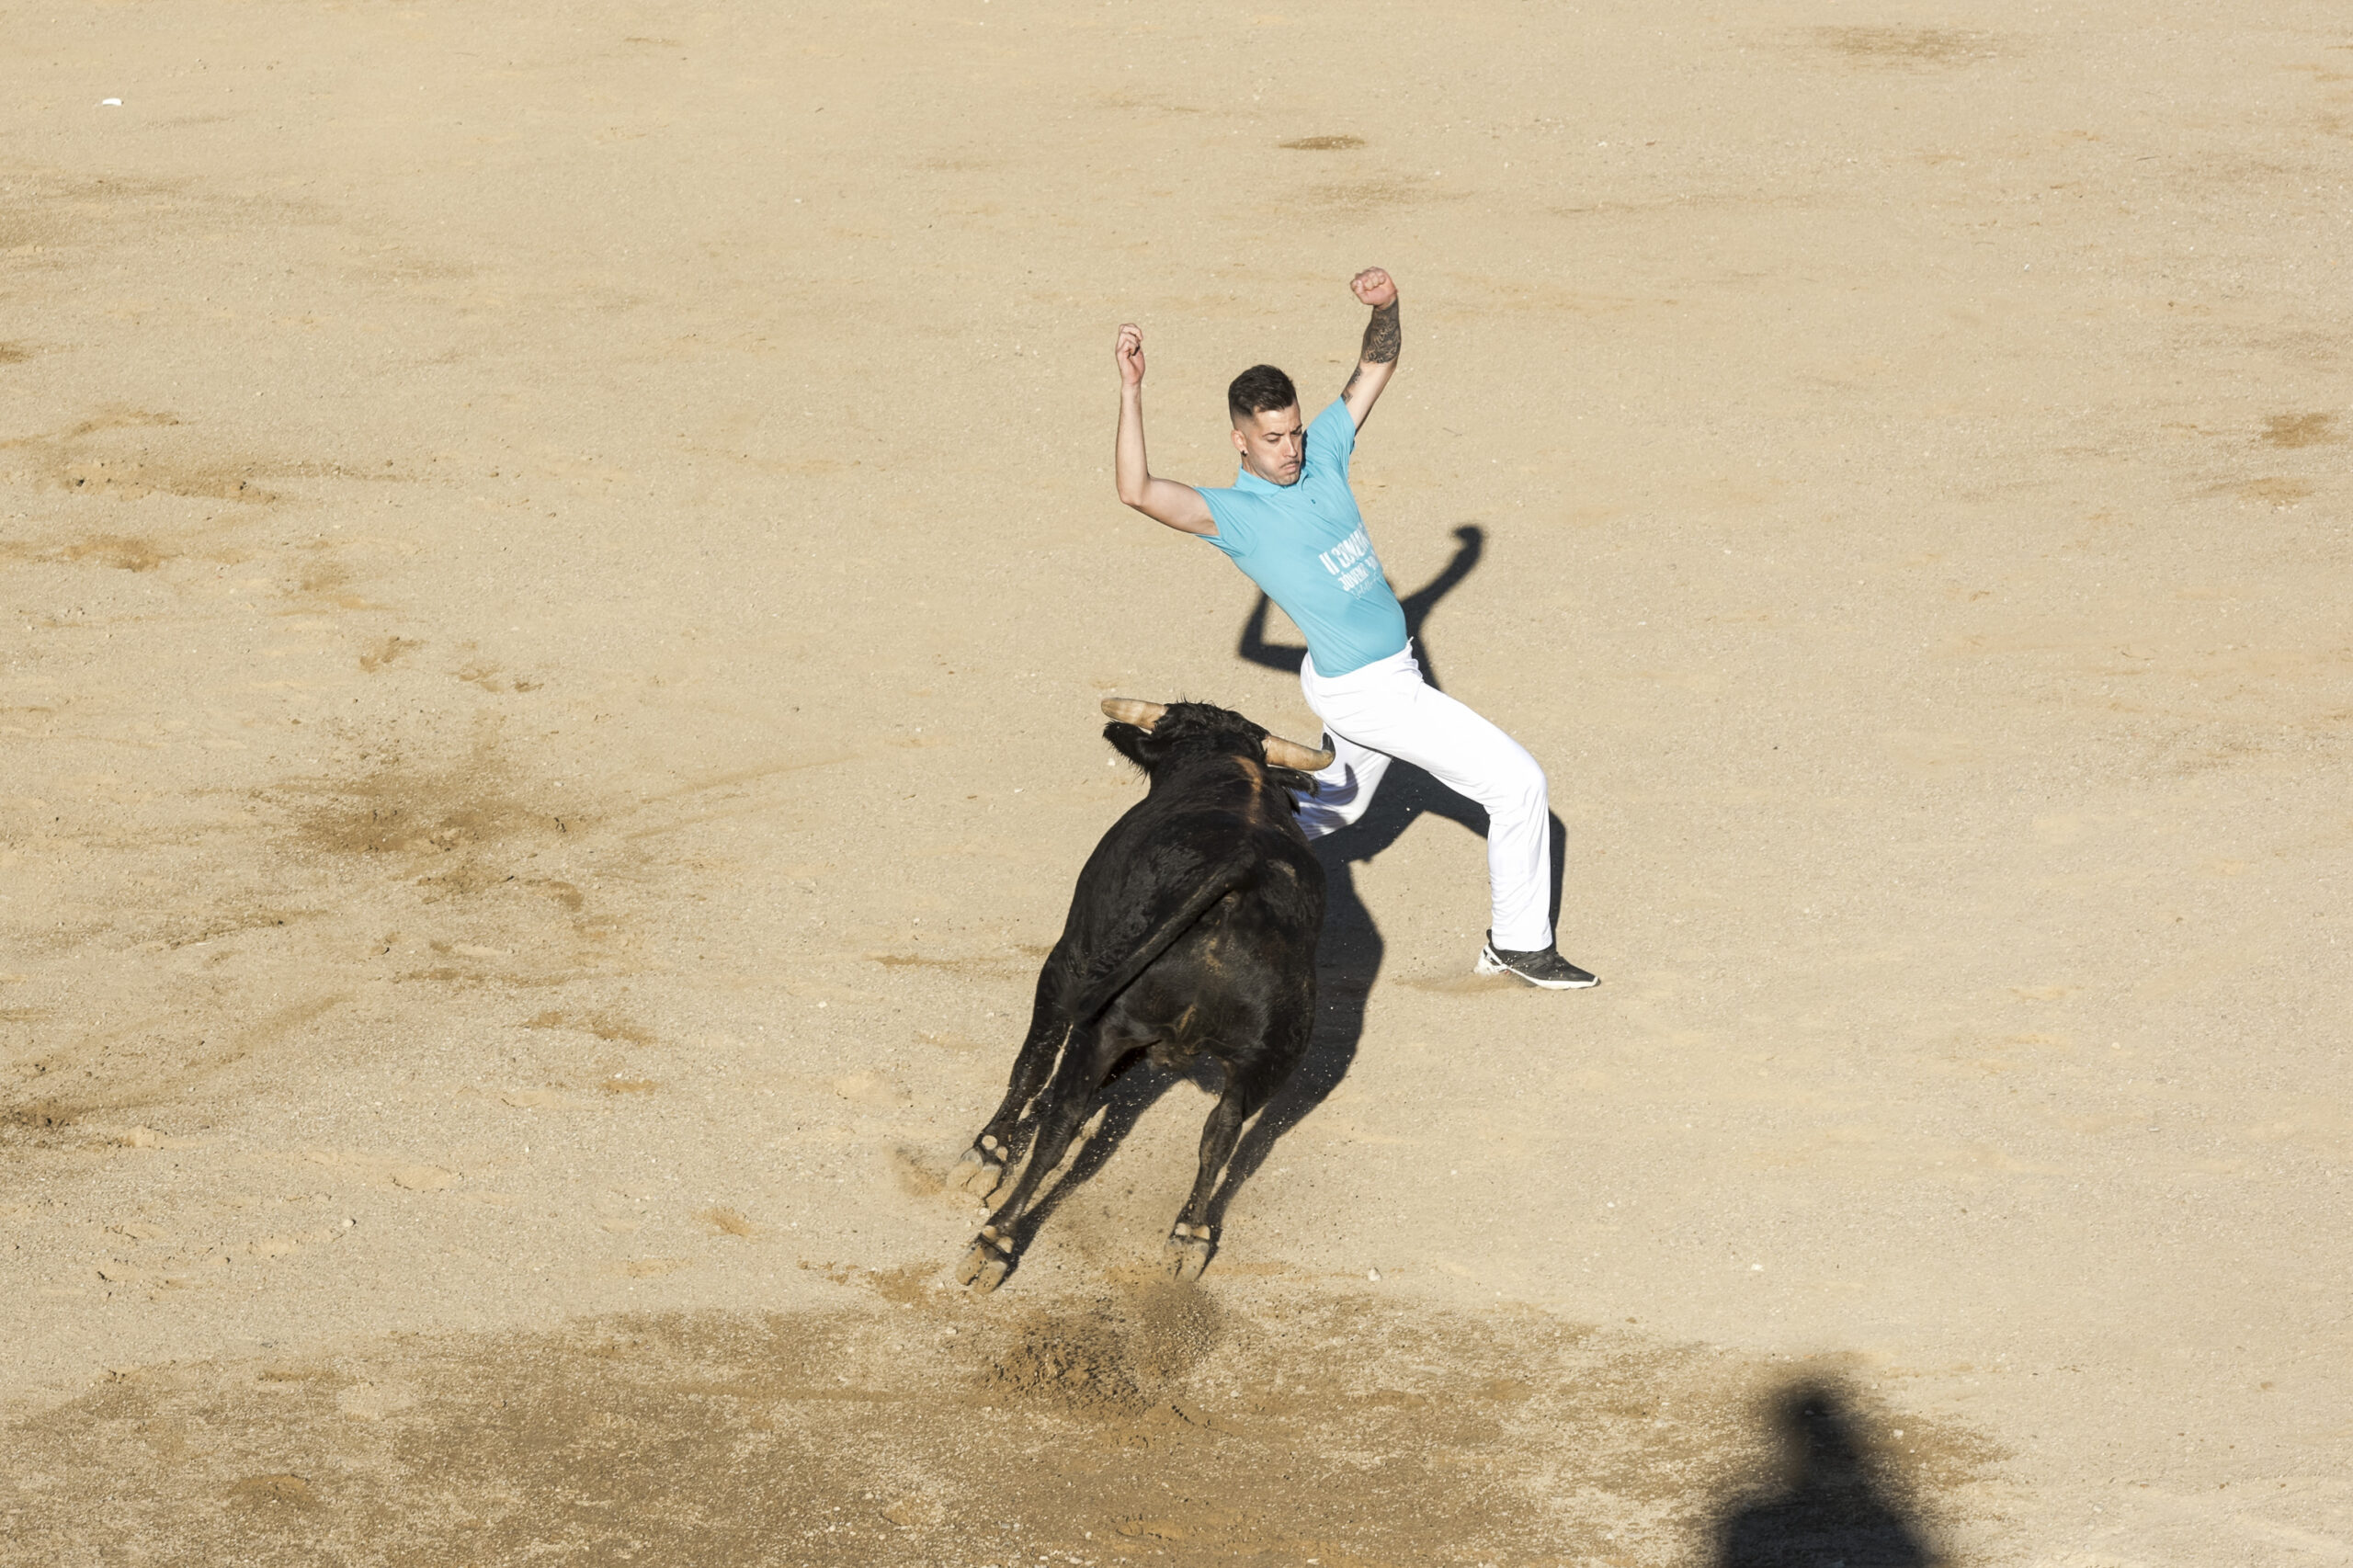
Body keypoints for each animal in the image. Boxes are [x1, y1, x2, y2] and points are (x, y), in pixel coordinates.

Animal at [950, 701, 1326, 1290]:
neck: (1227, 761)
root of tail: (1242, 879)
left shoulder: (1066, 961)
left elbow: (1034, 1066)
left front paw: (987, 1153)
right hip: (1267, 1062)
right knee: (1221, 1132)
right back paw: (1189, 1235)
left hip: (1096, 1007)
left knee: (1060, 1124)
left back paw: (994, 1241)